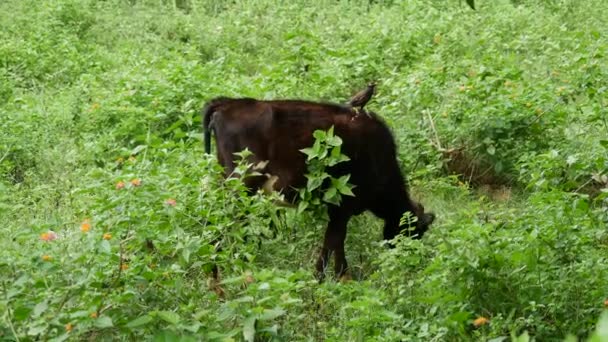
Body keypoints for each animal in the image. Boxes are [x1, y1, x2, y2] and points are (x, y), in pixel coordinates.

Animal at [202, 97, 434, 280]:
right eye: (414, 234)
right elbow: (333, 241)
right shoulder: (343, 205)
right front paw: (330, 278)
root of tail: (227, 102)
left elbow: (334, 243)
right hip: (242, 183)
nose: (409, 266)